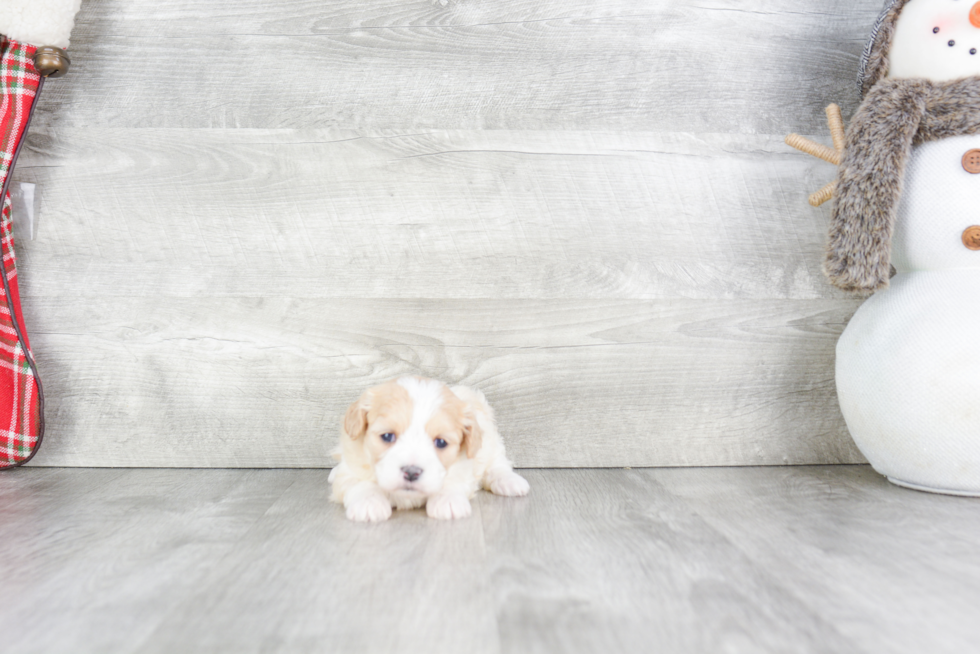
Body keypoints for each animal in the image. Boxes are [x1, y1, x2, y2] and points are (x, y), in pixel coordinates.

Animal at [330, 380, 528, 524]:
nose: (411, 472)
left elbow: (453, 479)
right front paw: (369, 503)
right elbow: (360, 482)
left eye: (441, 442)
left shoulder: (465, 465)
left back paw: (510, 481)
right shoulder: (350, 465)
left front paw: (447, 501)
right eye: (387, 436)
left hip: (490, 443)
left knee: (497, 464)